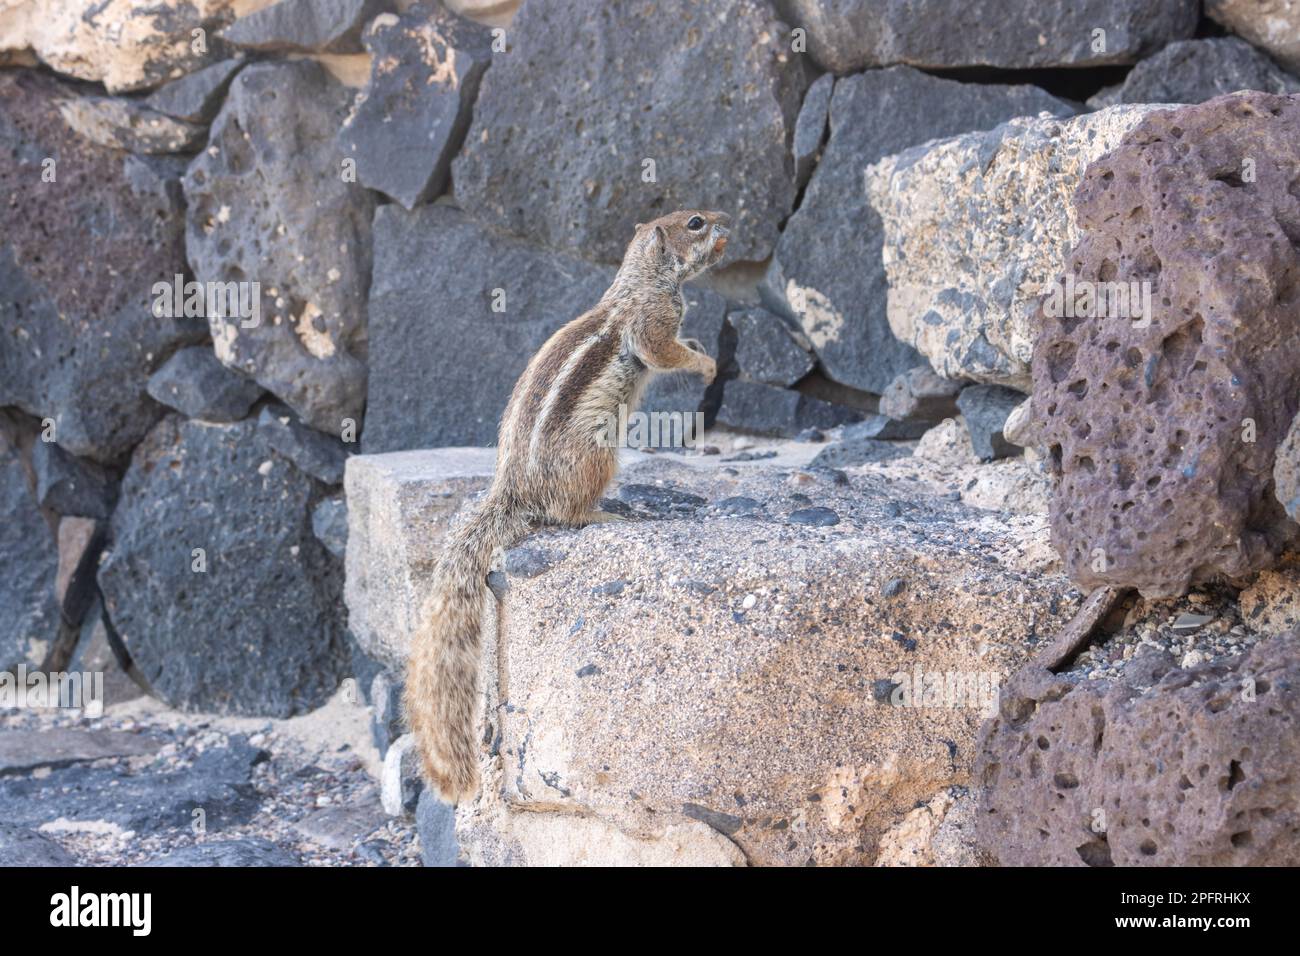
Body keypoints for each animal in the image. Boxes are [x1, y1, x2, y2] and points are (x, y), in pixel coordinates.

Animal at [405, 209, 732, 802]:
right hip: (596, 456)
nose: (728, 221)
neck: (640, 278)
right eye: (696, 222)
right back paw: (607, 512)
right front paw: (705, 363)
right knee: (568, 514)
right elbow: (663, 351)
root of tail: (512, 491)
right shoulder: (651, 322)